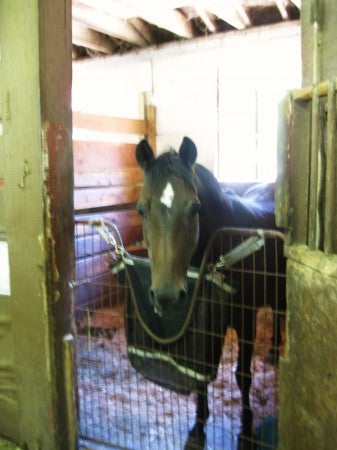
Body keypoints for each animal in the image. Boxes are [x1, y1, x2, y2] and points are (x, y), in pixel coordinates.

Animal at [135, 137, 284, 450]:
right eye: (141, 209)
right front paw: (198, 427)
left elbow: (243, 376)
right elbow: (200, 373)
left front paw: (247, 431)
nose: (166, 296)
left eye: (195, 208)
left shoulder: (246, 321)